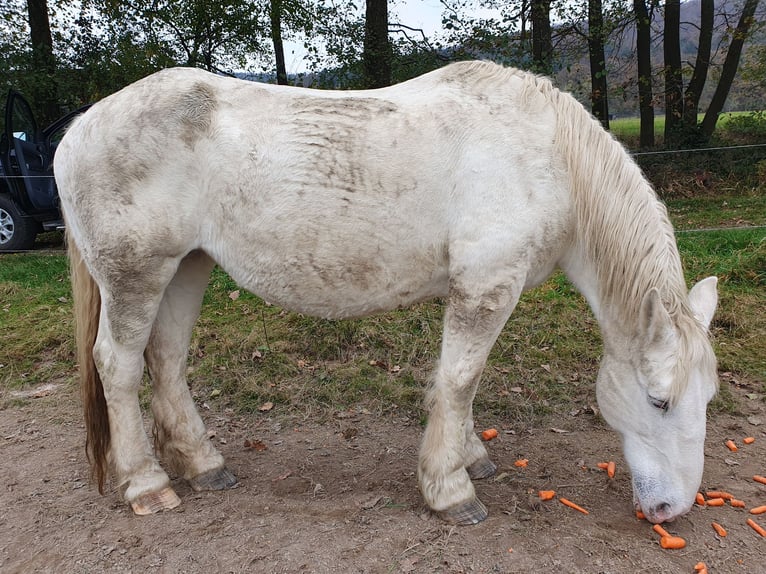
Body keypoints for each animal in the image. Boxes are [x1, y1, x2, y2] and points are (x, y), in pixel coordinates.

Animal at [54, 62, 720, 528]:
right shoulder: (486, 287)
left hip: (185, 268)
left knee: (165, 361)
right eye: (659, 401)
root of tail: (79, 128)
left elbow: (461, 382)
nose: (673, 509)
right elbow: (459, 380)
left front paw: (470, 457)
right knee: (118, 367)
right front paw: (451, 490)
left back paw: (203, 466)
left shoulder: (480, 291)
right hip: (136, 276)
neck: (549, 157)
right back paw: (148, 485)